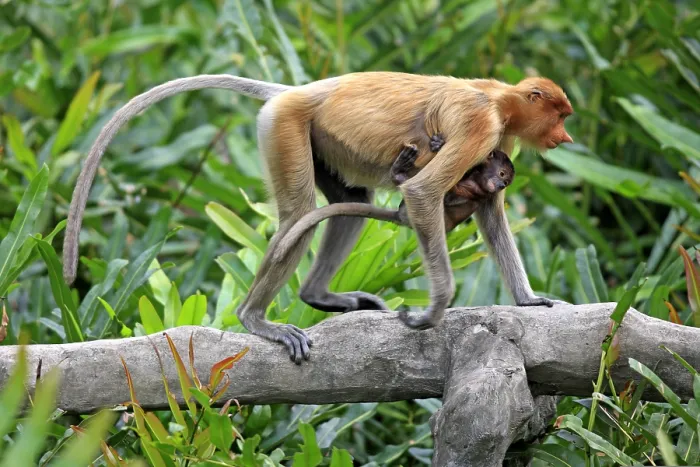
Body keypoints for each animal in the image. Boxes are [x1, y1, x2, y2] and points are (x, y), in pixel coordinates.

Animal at [272, 143, 516, 260]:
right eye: (502, 174)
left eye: (506, 180)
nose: (500, 186)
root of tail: (402, 217)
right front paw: (437, 145)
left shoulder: (477, 188)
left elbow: (450, 194)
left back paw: (398, 174)